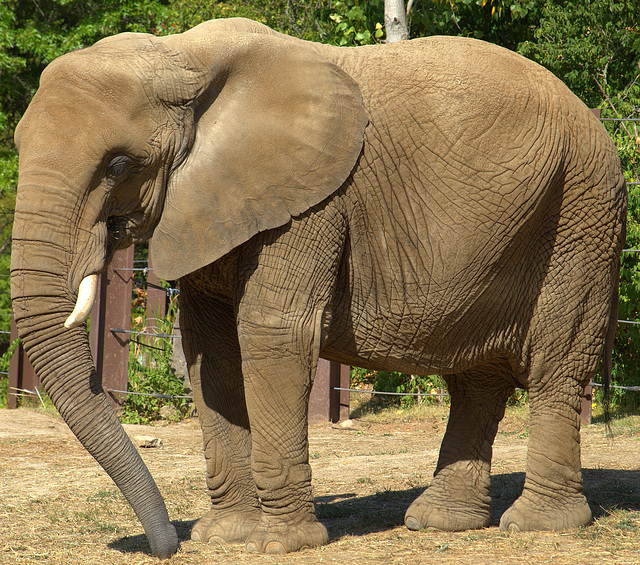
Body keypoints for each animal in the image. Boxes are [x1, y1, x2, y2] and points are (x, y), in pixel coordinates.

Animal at [10, 16, 628, 556]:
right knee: (477, 379)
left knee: (554, 363)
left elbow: (271, 334)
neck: (185, 58)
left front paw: (277, 545)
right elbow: (210, 350)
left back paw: (536, 526)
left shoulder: (311, 201)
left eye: (117, 164)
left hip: (582, 212)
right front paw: (224, 537)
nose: (167, 547)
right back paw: (438, 522)